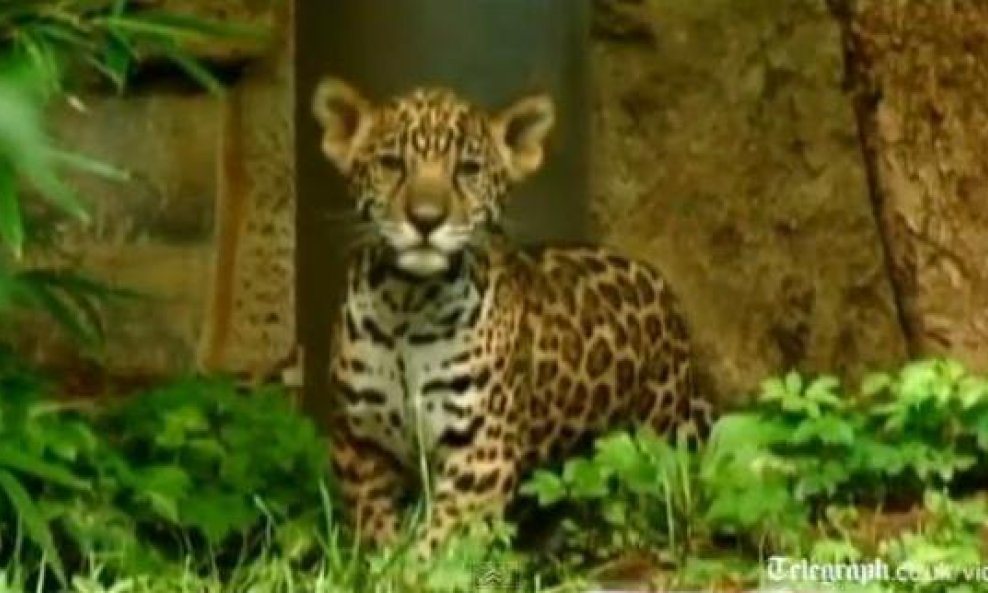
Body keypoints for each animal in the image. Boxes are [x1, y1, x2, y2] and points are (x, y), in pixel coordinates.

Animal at [311, 77, 714, 555]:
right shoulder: (359, 439)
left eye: (467, 169)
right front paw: (383, 555)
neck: (407, 304)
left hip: (660, 437)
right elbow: (373, 522)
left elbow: (441, 541)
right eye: (392, 164)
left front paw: (414, 564)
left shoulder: (482, 450)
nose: (426, 220)